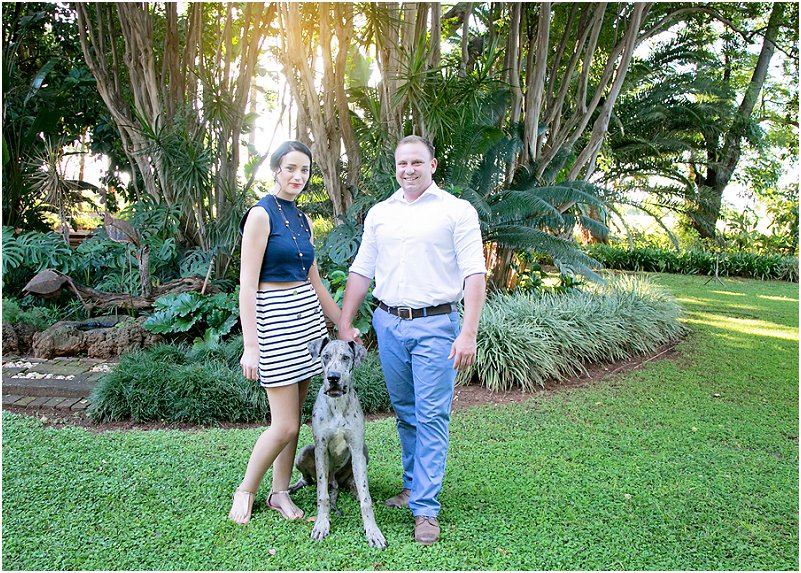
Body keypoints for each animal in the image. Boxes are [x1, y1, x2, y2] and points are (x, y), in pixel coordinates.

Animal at [290, 338, 386, 548]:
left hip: (364, 453)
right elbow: (322, 494)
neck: (337, 404)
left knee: (353, 483)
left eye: (346, 357)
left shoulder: (357, 449)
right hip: (304, 452)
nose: (333, 377)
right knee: (310, 480)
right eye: (325, 356)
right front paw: (321, 524)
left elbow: (366, 498)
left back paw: (354, 489)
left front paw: (373, 531)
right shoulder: (320, 448)